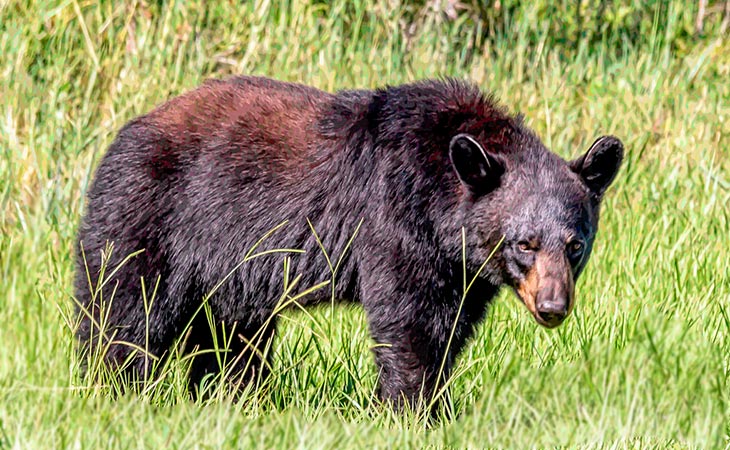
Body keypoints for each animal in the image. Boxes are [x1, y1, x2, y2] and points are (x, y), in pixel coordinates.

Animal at [74, 76, 623, 411]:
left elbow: (451, 329)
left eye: (575, 244)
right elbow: (410, 323)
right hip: (150, 215)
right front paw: (415, 409)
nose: (553, 306)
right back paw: (114, 389)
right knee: (123, 310)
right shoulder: (394, 220)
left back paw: (229, 397)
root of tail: (123, 134)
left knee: (230, 336)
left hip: (228, 268)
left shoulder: (461, 270)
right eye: (524, 243)